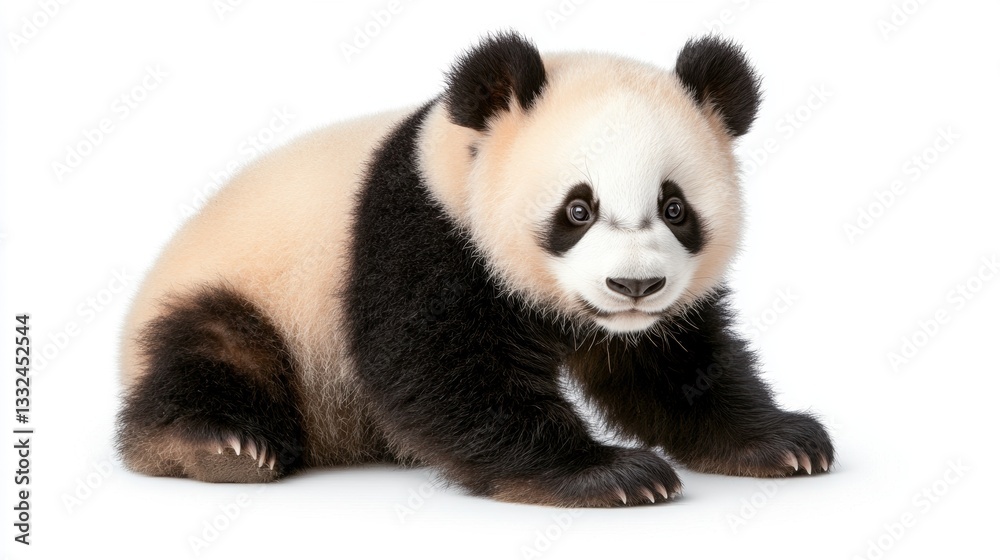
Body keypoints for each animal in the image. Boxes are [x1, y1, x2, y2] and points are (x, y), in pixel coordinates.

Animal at [116, 32, 833, 507]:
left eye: (675, 207)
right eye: (578, 208)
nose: (634, 287)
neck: (462, 161)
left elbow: (672, 367)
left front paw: (783, 440)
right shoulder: (423, 228)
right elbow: (441, 370)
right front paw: (610, 473)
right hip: (244, 291)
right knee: (213, 344)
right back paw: (220, 446)